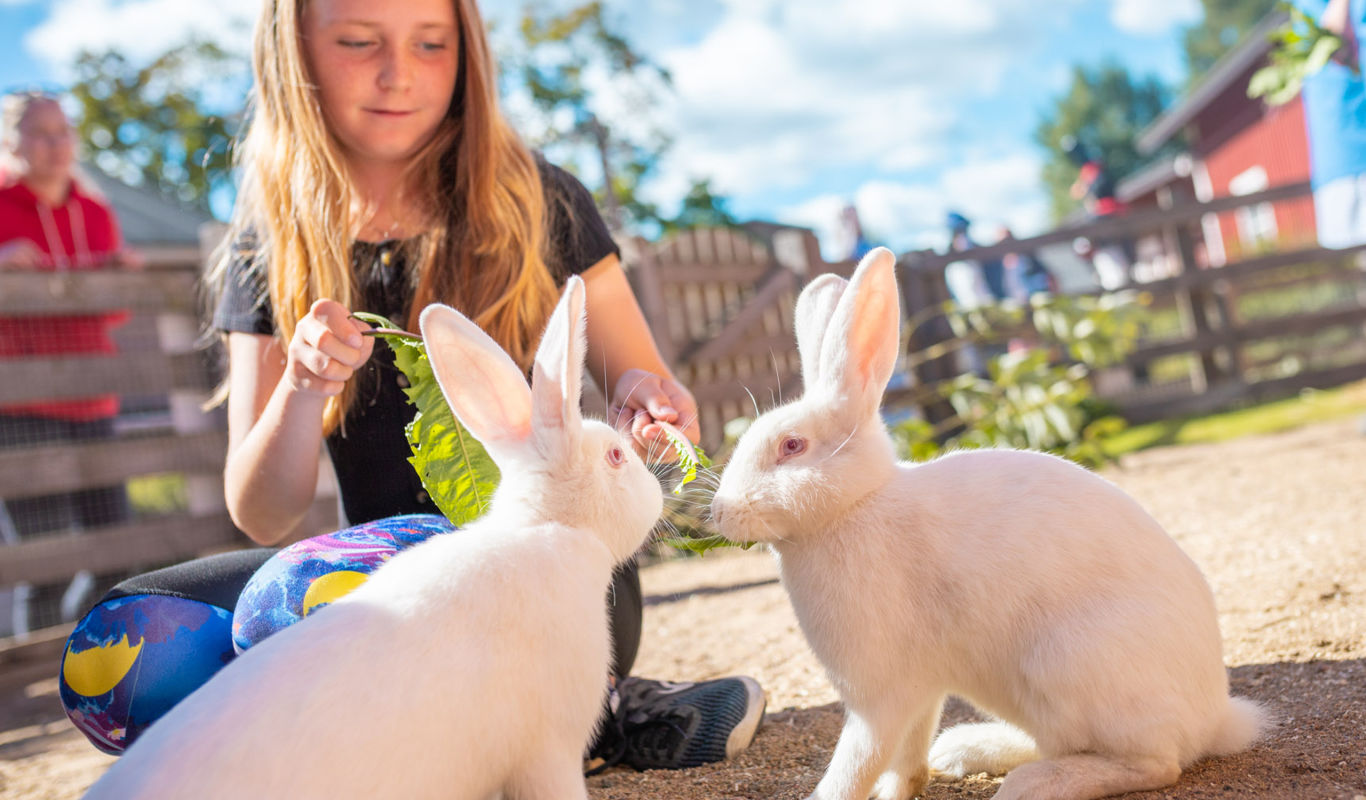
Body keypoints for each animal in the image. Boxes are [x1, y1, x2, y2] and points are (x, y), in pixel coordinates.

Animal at [710, 248, 1262, 797]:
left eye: (792, 445)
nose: (719, 513)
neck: (856, 506)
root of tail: (1213, 721)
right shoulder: (920, 690)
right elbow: (906, 757)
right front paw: (903, 789)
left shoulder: (881, 694)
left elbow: (859, 761)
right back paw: (971, 750)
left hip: (1071, 665)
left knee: (1154, 764)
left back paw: (1032, 783)